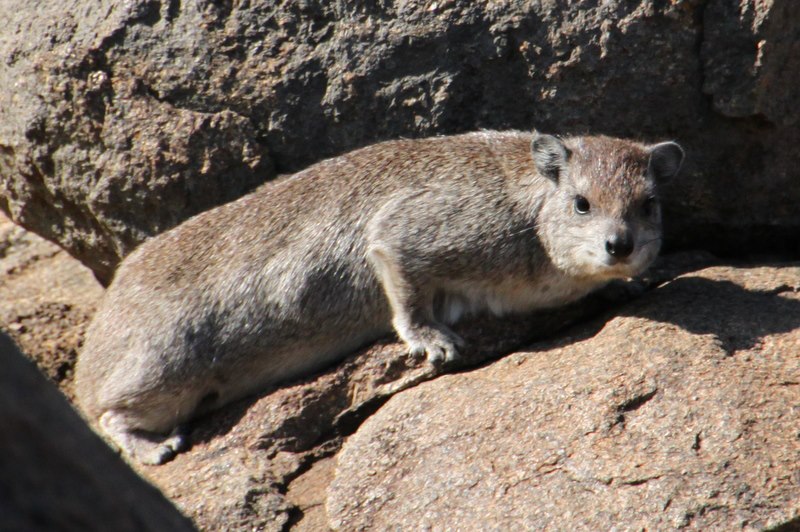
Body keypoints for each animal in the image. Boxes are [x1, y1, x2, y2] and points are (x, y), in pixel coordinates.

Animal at [75, 130, 684, 464]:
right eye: (582, 203)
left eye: (648, 204)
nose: (620, 245)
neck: (532, 211)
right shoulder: (415, 229)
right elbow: (404, 281)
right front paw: (432, 340)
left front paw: (631, 281)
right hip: (164, 366)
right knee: (107, 414)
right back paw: (153, 445)